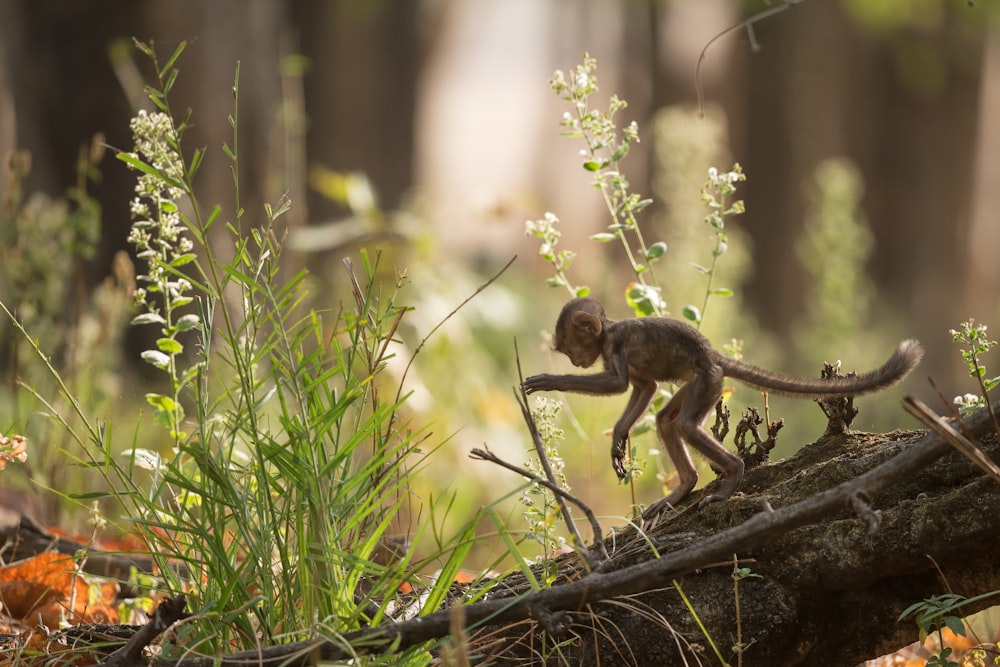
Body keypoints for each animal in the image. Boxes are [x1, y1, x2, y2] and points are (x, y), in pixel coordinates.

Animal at [520, 298, 924, 520]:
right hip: (704, 382)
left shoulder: (615, 346)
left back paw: (733, 476)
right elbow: (645, 388)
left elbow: (619, 384)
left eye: (571, 348)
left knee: (685, 424)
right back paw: (684, 487)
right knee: (667, 421)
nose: (575, 360)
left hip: (707, 380)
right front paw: (619, 438)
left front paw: (550, 381)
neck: (608, 332)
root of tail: (713, 356)